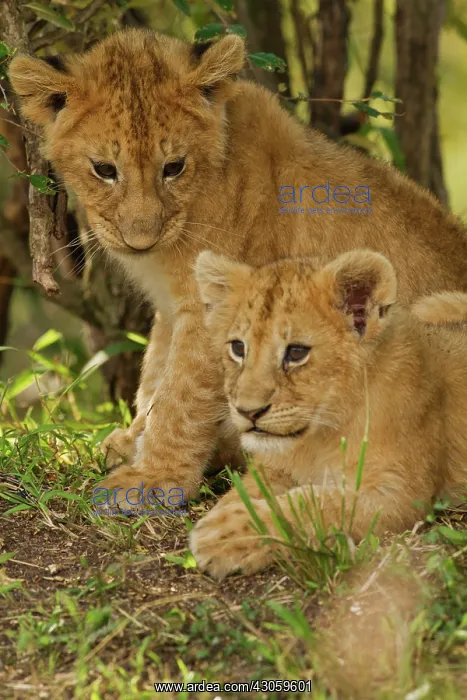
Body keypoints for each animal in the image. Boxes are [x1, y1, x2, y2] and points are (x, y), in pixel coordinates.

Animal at [8, 29, 467, 502]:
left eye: (173, 167)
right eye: (104, 169)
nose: (140, 239)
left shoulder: (216, 309)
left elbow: (180, 398)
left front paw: (152, 479)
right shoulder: (172, 306)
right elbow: (155, 372)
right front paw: (131, 441)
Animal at [189, 249, 467, 579]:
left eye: (297, 352)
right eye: (238, 348)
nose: (248, 411)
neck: (319, 437)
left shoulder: (400, 492)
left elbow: (316, 504)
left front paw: (230, 533)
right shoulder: (277, 465)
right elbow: (252, 488)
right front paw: (227, 512)